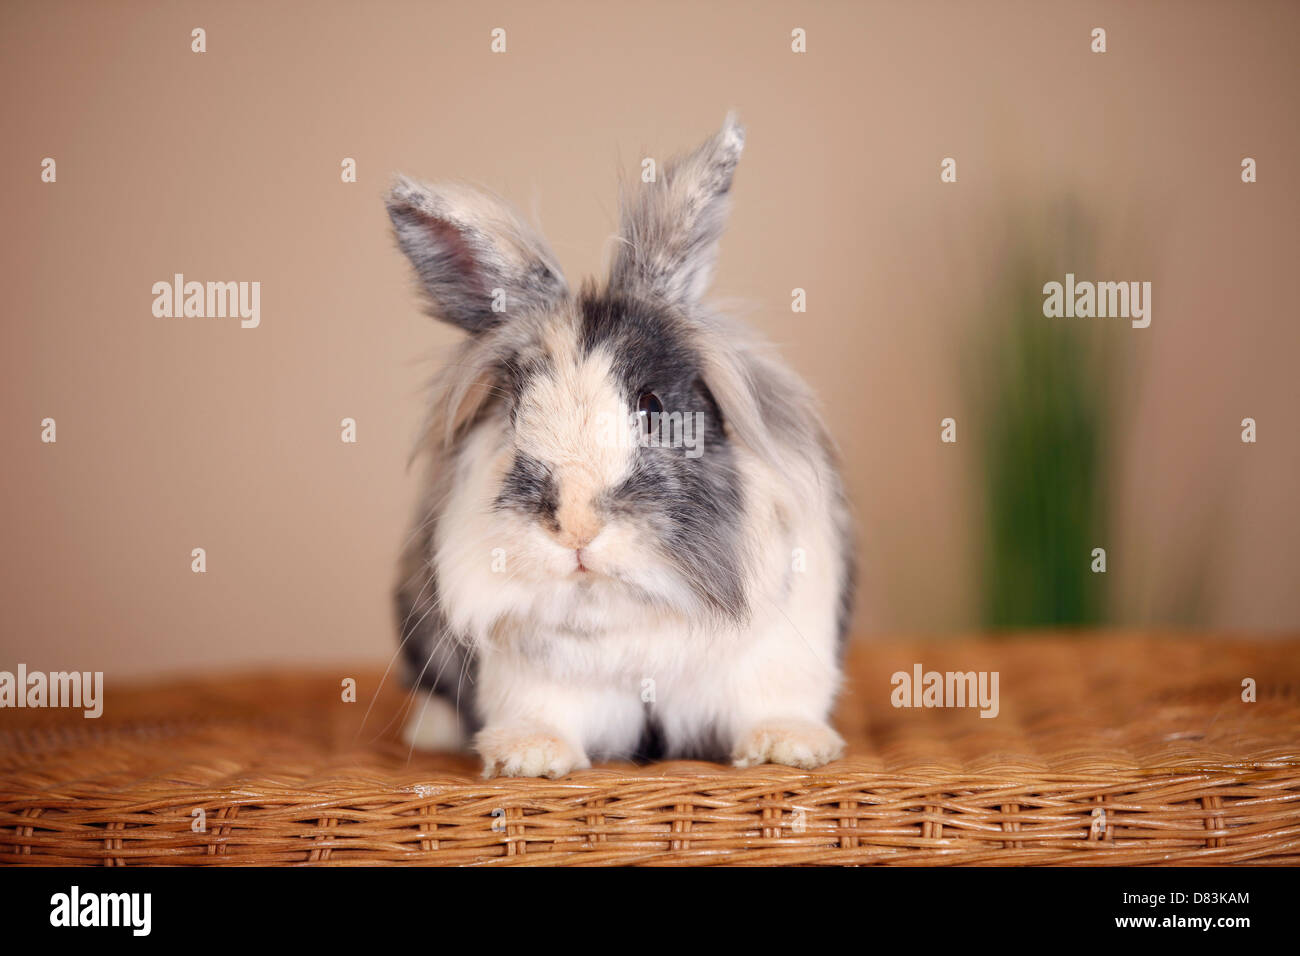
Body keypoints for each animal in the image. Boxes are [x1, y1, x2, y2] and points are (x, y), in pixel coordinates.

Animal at [384, 117, 852, 780]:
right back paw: (429, 732)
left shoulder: (777, 654)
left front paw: (791, 748)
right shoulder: (533, 681)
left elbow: (774, 702)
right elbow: (539, 714)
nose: (577, 525)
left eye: (652, 405)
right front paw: (530, 757)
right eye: (516, 411)